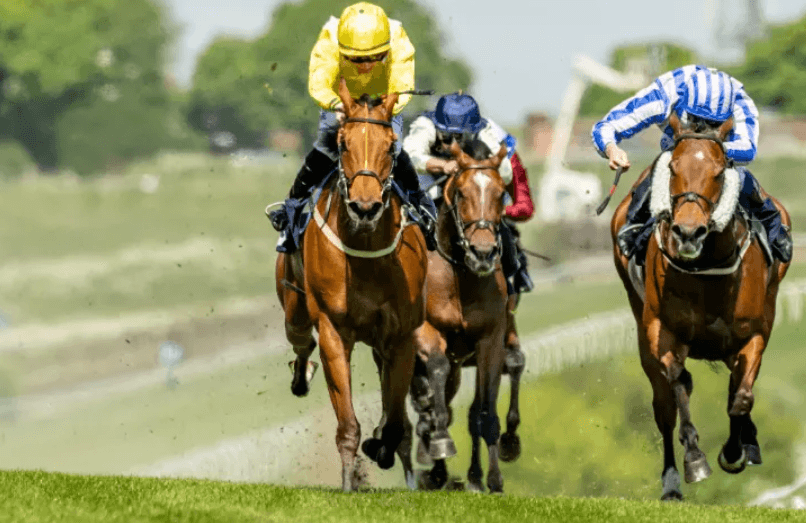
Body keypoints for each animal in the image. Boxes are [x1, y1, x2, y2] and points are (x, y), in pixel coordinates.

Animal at [274, 79, 428, 491]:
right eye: (343, 144)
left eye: (391, 146)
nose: (364, 207)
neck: (366, 254)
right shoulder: (333, 329)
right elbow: (347, 424)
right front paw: (348, 481)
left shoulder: (401, 336)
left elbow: (395, 421)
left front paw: (381, 447)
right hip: (294, 309)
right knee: (301, 342)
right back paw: (301, 375)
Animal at [409, 139, 514, 493]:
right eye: (462, 193)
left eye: (501, 192)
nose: (483, 252)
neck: (459, 277)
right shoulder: (425, 332)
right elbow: (436, 378)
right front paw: (439, 440)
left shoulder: (491, 340)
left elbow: (484, 410)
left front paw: (490, 480)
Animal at [610, 112, 791, 500]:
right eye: (673, 167)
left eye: (719, 171)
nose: (688, 232)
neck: (708, 269)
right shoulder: (662, 331)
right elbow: (678, 383)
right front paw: (695, 458)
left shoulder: (753, 333)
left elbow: (741, 397)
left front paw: (736, 450)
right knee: (664, 406)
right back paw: (671, 484)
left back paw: (748, 441)